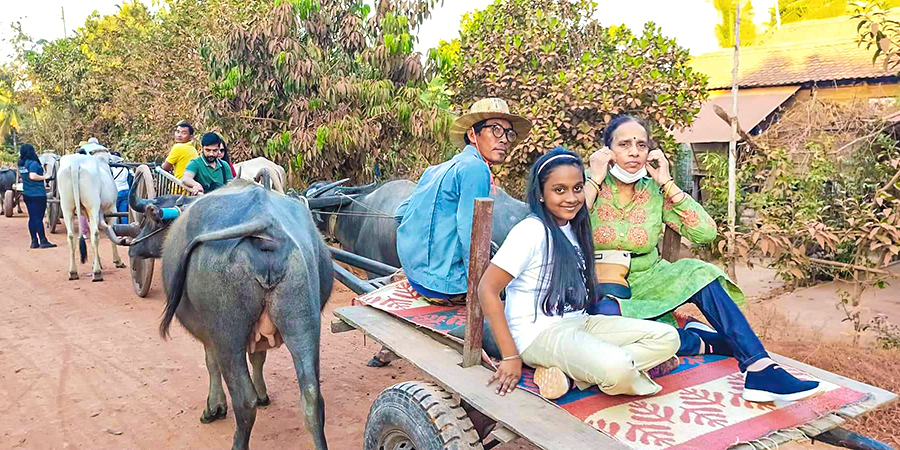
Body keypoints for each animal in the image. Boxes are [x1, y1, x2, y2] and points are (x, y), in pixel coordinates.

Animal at [160, 180, 332, 450]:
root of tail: (267, 225)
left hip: (228, 335)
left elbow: (211, 363)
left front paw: (214, 408)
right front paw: (263, 395)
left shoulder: (211, 337)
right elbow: (259, 358)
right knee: (312, 397)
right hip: (303, 321)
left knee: (244, 400)